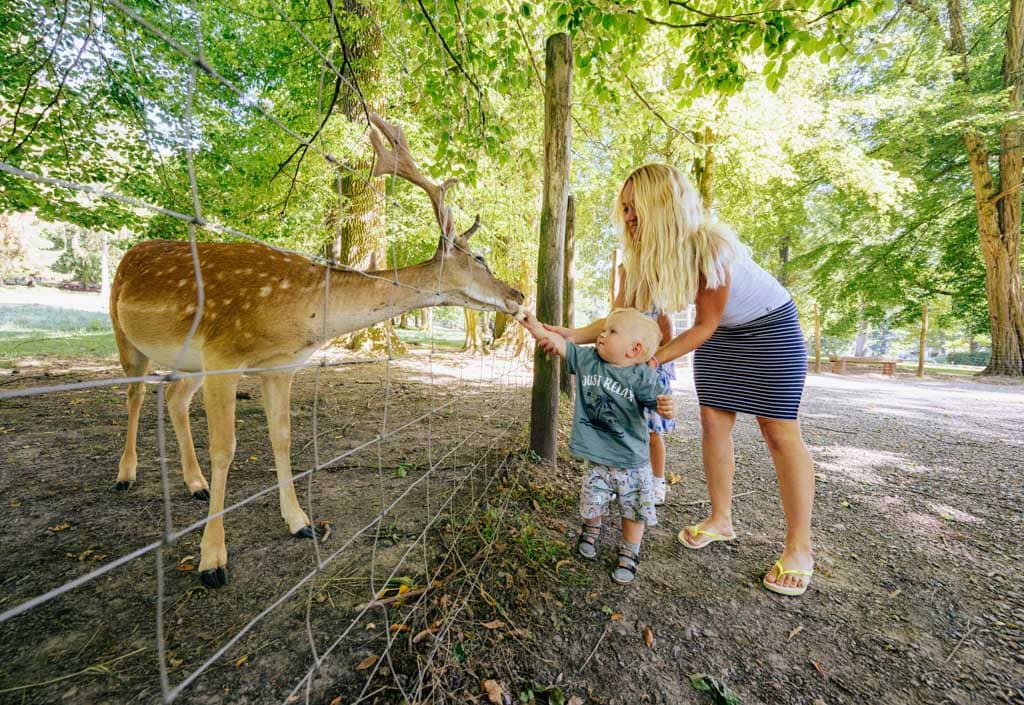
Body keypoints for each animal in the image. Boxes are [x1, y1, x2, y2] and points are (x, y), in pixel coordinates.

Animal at [111, 114, 524, 590]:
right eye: (480, 258)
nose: (518, 294)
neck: (297, 316)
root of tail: (130, 251)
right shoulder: (224, 355)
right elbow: (226, 448)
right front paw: (212, 561)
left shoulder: (280, 367)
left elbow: (283, 438)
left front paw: (301, 522)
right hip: (127, 335)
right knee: (136, 393)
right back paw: (125, 475)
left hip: (187, 361)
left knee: (173, 397)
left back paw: (195, 484)